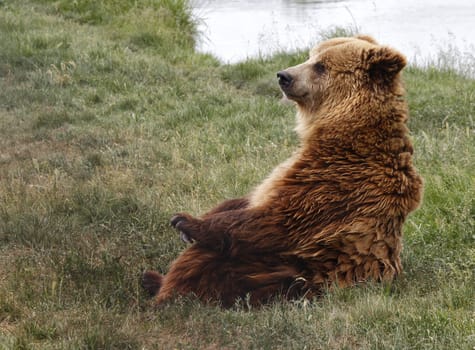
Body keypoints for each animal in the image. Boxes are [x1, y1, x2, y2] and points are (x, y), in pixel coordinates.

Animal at [141, 35, 424, 308]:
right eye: (309, 55)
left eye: (321, 66)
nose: (284, 76)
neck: (343, 133)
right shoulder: (294, 173)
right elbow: (249, 198)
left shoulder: (334, 183)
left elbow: (276, 220)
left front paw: (186, 221)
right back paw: (152, 278)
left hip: (277, 273)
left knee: (206, 263)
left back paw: (163, 289)